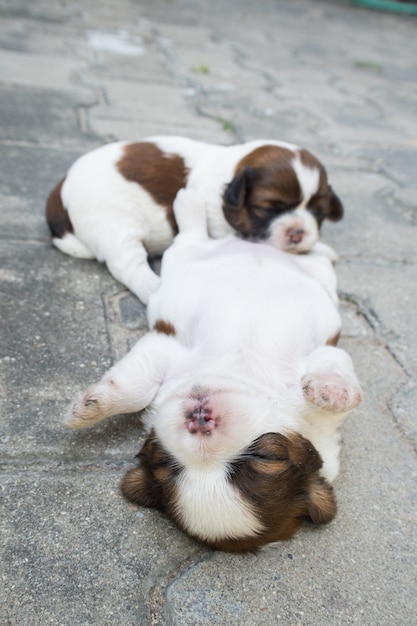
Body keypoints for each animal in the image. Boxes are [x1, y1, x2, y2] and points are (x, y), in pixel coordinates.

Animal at [45, 135, 342, 304]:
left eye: (318, 212)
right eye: (267, 207)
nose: (298, 233)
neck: (228, 176)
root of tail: (58, 195)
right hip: (116, 223)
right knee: (129, 266)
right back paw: (154, 288)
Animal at [65, 189, 360, 552]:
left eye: (266, 456)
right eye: (165, 463)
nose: (199, 419)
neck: (242, 375)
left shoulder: (326, 356)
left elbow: (333, 379)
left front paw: (331, 391)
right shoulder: (165, 347)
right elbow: (134, 391)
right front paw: (86, 410)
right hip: (185, 257)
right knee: (196, 236)